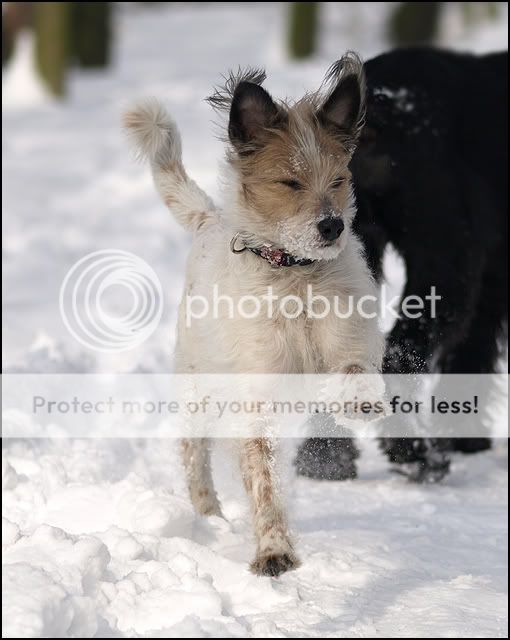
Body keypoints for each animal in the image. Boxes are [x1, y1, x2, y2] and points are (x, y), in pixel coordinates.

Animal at [124, 52, 385, 576]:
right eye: (290, 182)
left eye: (338, 180)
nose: (332, 226)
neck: (295, 276)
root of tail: (210, 219)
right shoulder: (253, 394)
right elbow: (262, 475)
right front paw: (273, 549)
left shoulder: (348, 334)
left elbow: (352, 364)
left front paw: (359, 399)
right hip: (197, 387)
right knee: (193, 455)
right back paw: (208, 516)